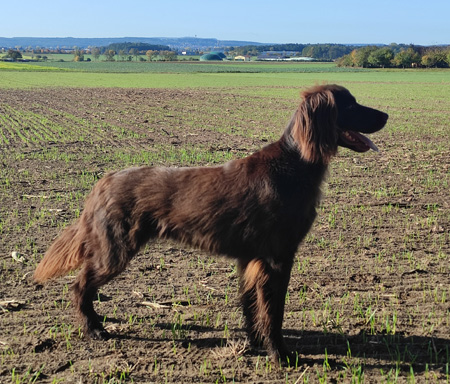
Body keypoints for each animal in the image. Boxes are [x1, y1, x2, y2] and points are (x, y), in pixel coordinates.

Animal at [34, 84, 386, 364]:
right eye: (350, 105)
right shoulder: (277, 257)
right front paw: (281, 356)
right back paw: (94, 330)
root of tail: (102, 182)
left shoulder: (251, 259)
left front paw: (255, 345)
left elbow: (251, 306)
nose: (385, 116)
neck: (294, 164)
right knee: (80, 286)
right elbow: (273, 313)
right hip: (115, 251)